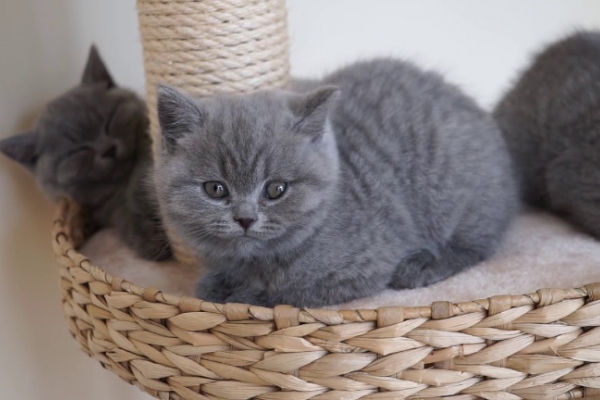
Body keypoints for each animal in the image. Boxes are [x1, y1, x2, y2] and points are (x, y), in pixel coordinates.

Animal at [0, 45, 171, 260]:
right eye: (78, 150)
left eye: (108, 121)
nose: (108, 149)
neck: (121, 184)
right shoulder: (101, 209)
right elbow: (120, 215)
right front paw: (148, 239)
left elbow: (144, 171)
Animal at [157, 57, 516, 306]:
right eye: (215, 189)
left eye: (276, 190)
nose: (245, 219)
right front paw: (216, 282)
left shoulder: (362, 268)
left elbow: (289, 293)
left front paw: (240, 294)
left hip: (452, 197)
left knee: (477, 246)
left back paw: (420, 266)